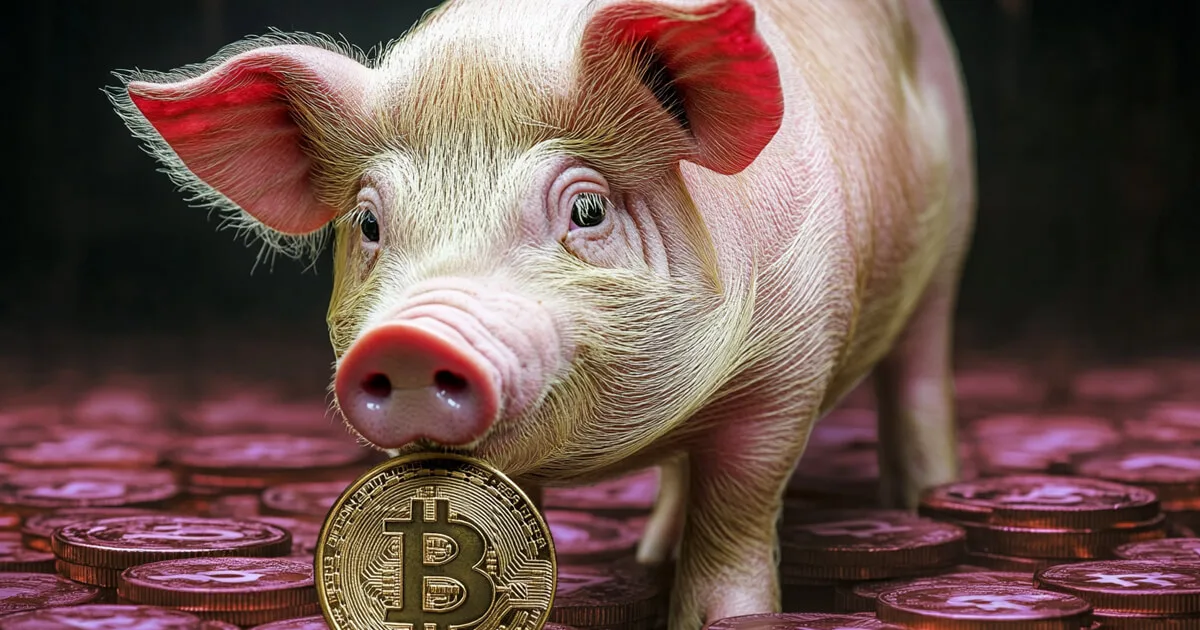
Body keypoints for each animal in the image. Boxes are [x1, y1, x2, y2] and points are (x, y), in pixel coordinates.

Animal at [110, 0, 974, 627]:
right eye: (369, 223)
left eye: (587, 209)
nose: (409, 337)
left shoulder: (789, 371)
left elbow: (740, 509)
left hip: (948, 247)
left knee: (920, 374)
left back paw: (920, 502)